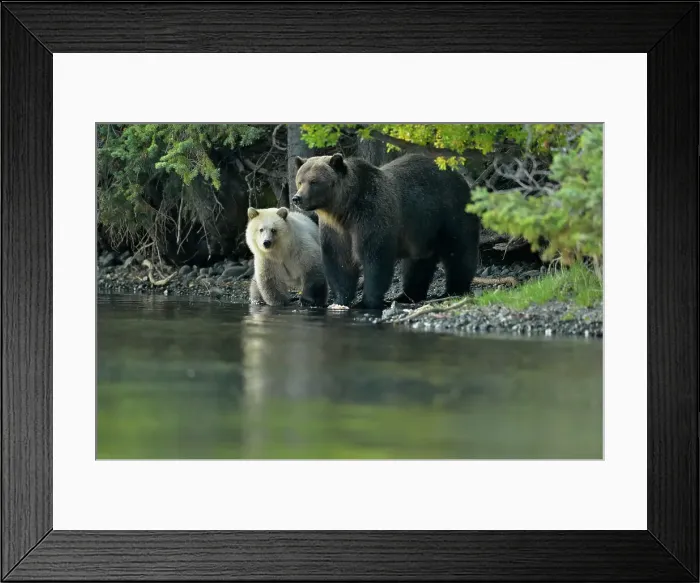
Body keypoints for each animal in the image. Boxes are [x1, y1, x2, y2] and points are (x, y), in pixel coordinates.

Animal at [292, 153, 480, 310]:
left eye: (314, 182)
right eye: (300, 180)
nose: (297, 198)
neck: (344, 210)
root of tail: (459, 176)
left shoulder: (371, 216)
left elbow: (375, 258)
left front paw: (367, 302)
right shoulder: (335, 231)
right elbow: (339, 262)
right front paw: (340, 300)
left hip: (450, 212)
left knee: (459, 250)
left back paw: (455, 289)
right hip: (422, 230)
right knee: (418, 262)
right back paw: (407, 296)